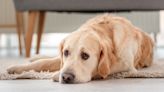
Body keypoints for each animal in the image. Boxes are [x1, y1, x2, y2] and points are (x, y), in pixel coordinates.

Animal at [7, 14, 154, 83]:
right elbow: (43, 63)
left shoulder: (127, 67)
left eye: (85, 55)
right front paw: (17, 68)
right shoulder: (61, 57)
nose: (66, 77)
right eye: (66, 52)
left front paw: (56, 74)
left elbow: (103, 69)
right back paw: (35, 56)